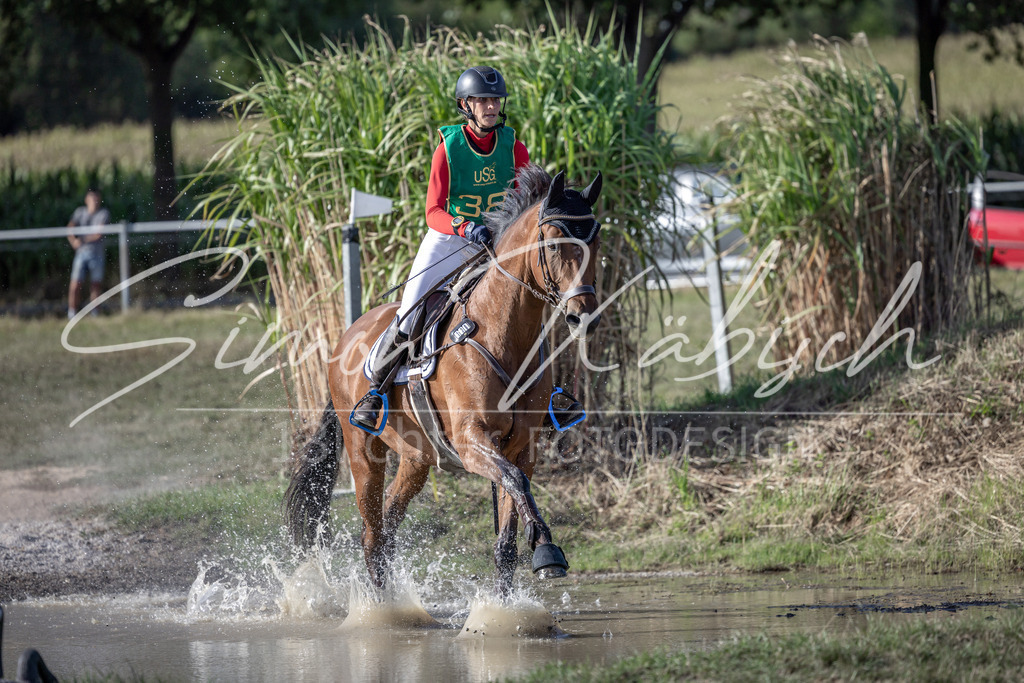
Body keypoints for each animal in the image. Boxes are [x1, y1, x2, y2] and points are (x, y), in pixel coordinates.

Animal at [284, 164, 603, 596]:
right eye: (554, 244)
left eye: (595, 240)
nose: (583, 315)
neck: (503, 333)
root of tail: (346, 336)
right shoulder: (471, 441)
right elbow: (516, 482)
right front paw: (547, 550)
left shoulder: (522, 446)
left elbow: (508, 536)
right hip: (364, 452)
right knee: (372, 534)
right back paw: (382, 608)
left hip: (416, 457)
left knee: (388, 527)